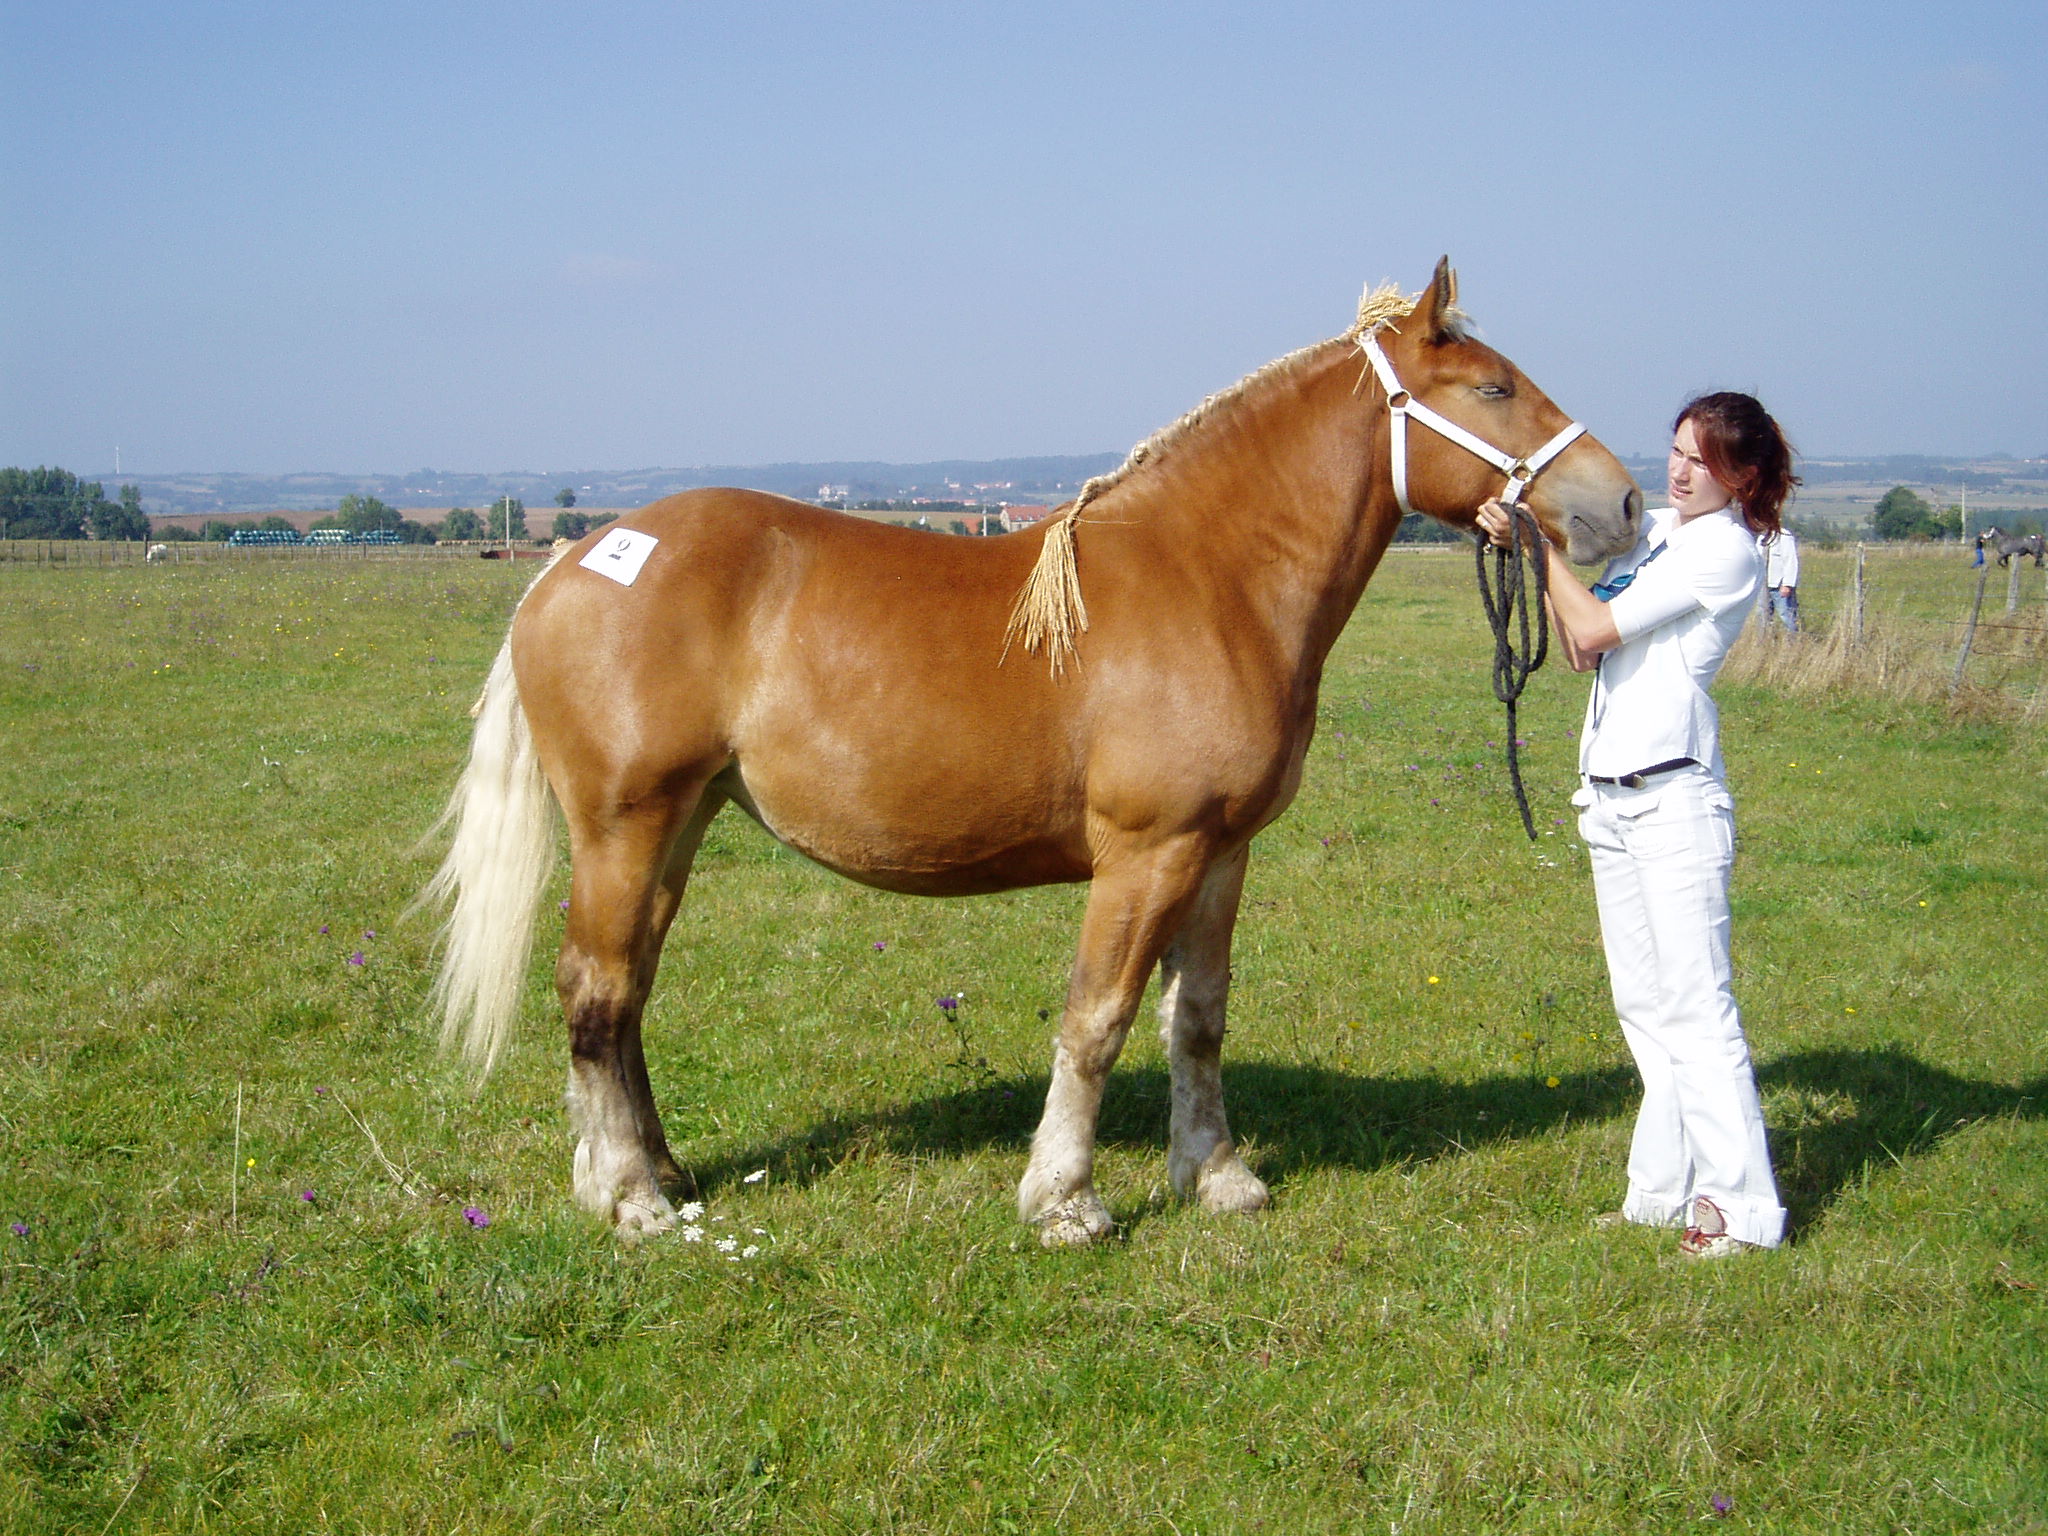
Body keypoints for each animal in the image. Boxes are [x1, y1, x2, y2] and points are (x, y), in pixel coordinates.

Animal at [420, 259, 1642, 1245]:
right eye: (1492, 388)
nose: (1623, 502)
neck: (1210, 576)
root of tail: (569, 559)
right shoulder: (1146, 853)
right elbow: (1096, 1021)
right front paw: (1064, 1200)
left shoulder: (1220, 852)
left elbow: (1196, 1020)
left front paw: (1217, 1179)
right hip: (625, 826)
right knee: (595, 991)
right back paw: (627, 1196)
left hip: (678, 827)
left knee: (628, 992)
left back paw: (661, 1172)